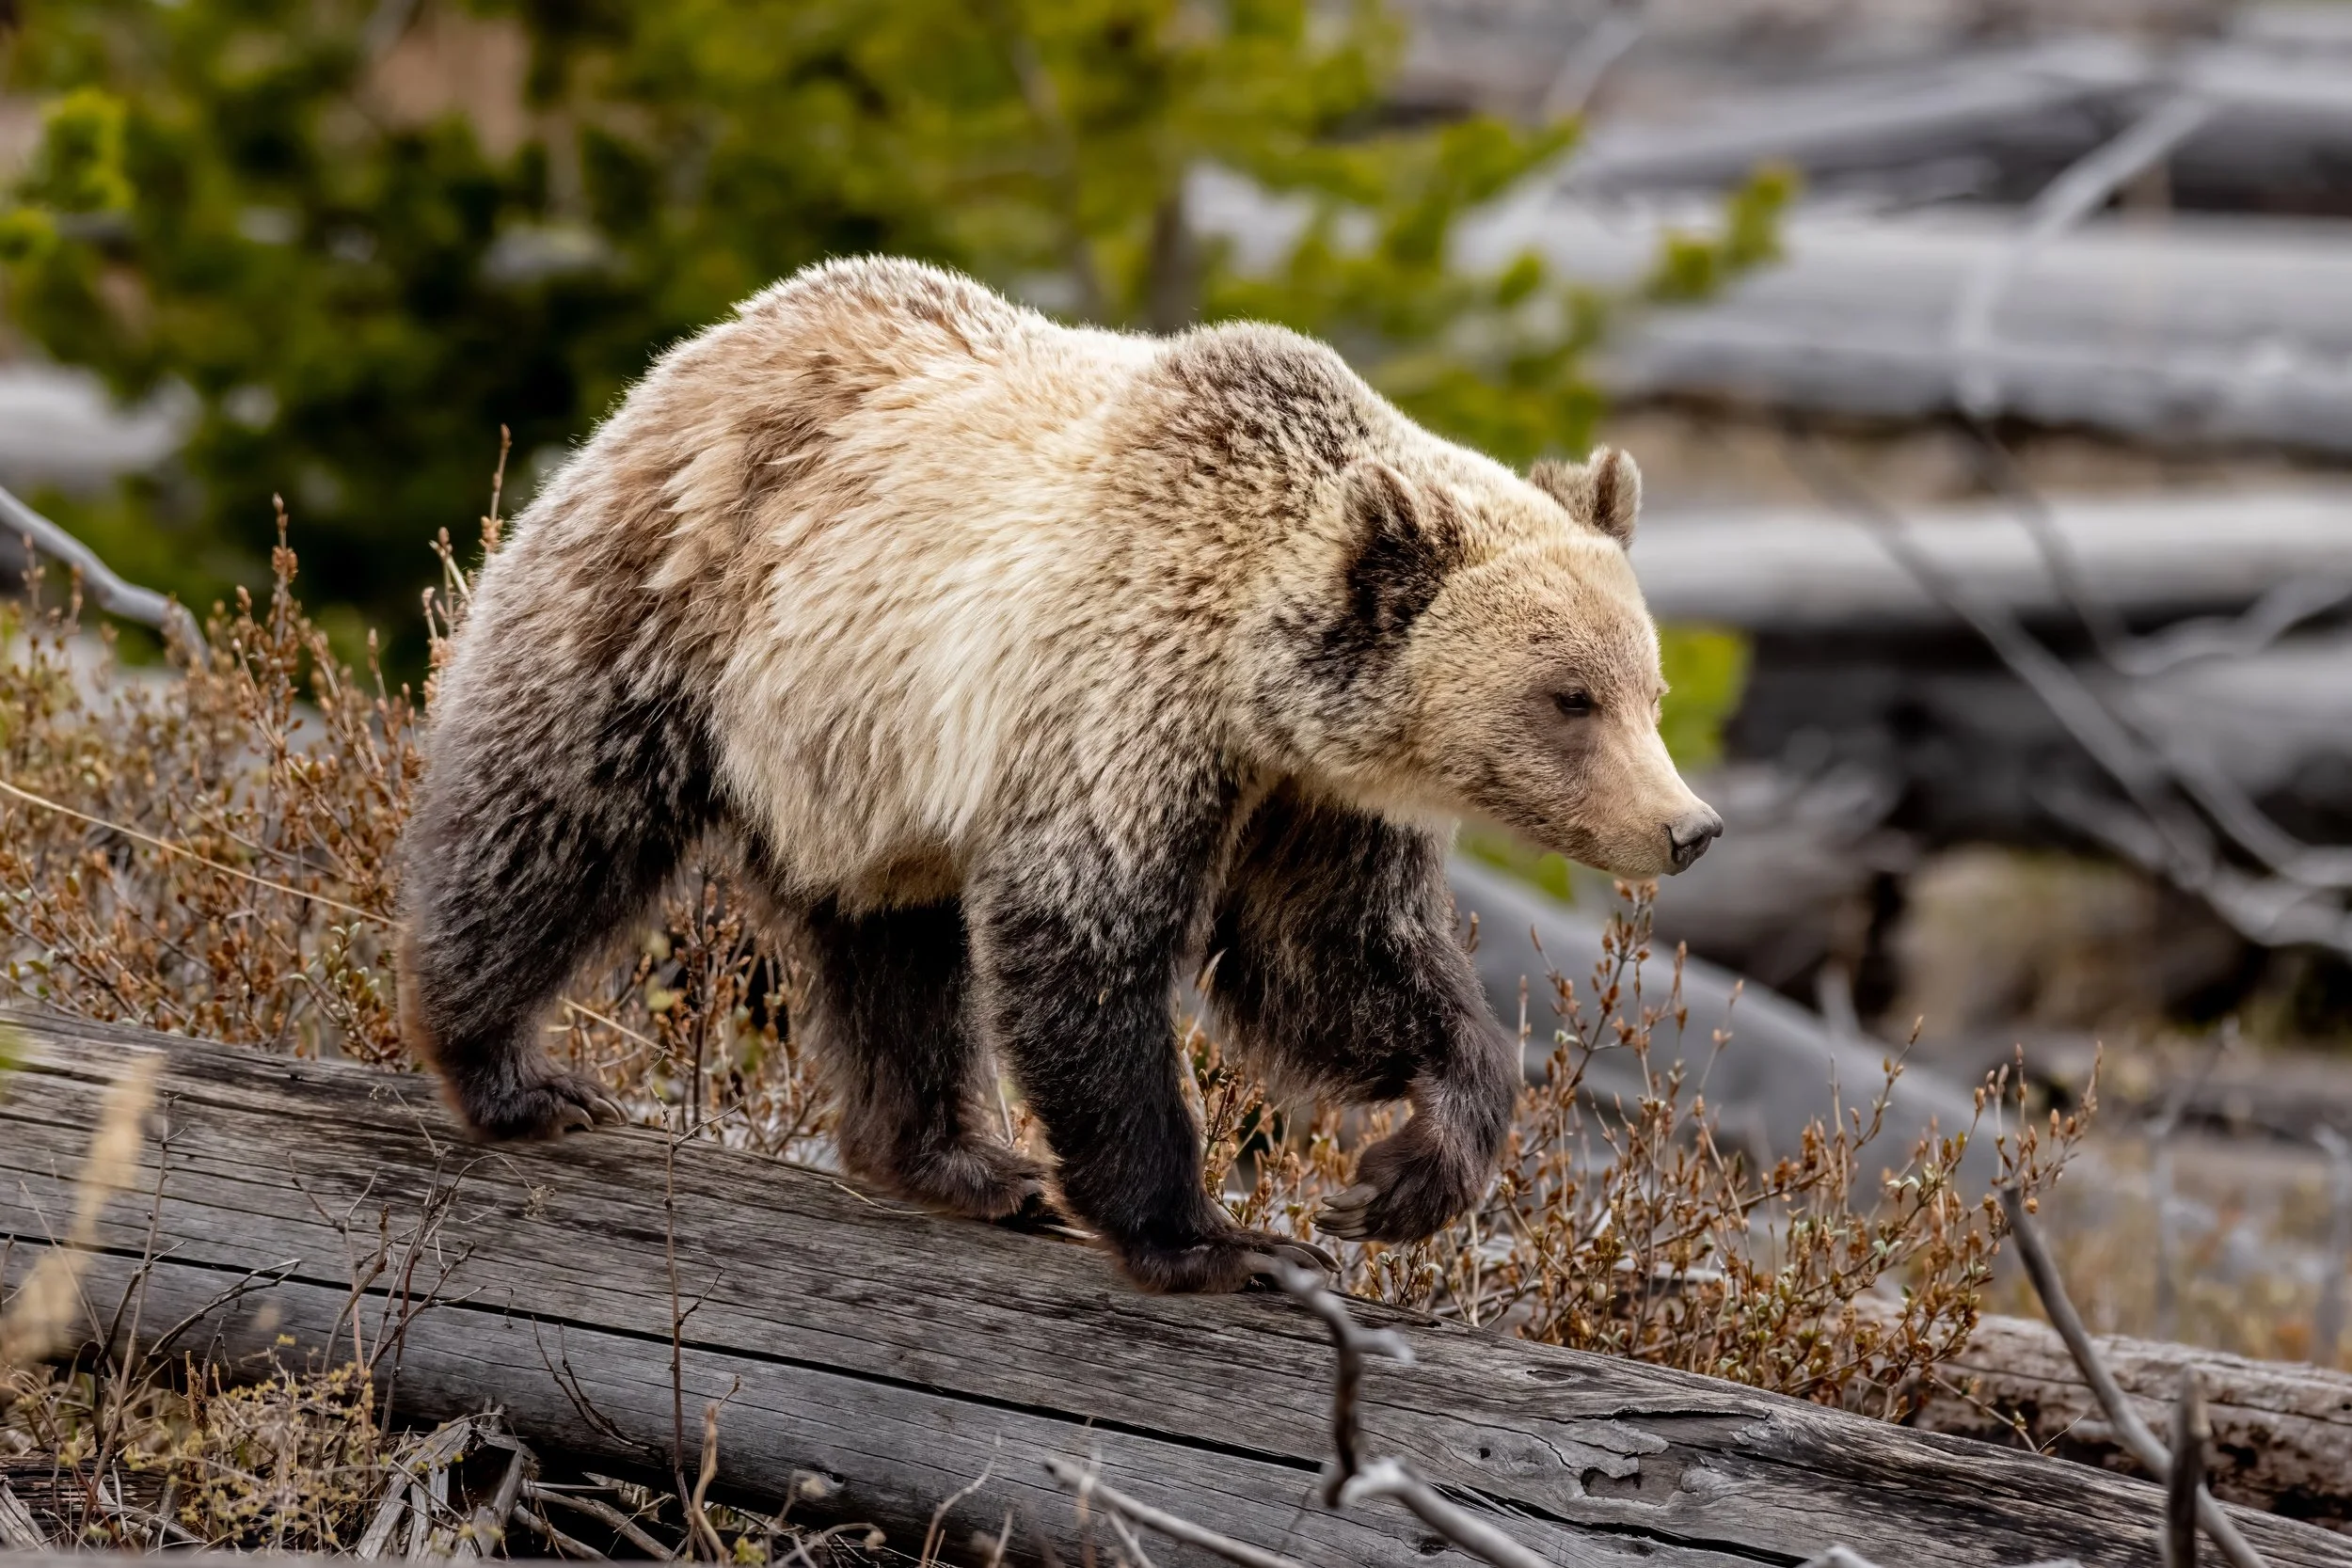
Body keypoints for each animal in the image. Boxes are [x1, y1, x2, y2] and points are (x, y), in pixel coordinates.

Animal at [397, 255, 1720, 1293]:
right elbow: (1085, 940)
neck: (1251, 687)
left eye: (1647, 688)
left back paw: (958, 1158)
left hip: (859, 764)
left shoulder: (1313, 800)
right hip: (675, 605)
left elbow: (1336, 960)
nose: (1687, 826)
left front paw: (1404, 1171)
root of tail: (704, 343)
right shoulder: (1118, 696)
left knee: (892, 946)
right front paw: (1217, 1238)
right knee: (551, 813)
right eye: (1569, 698)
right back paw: (510, 1069)